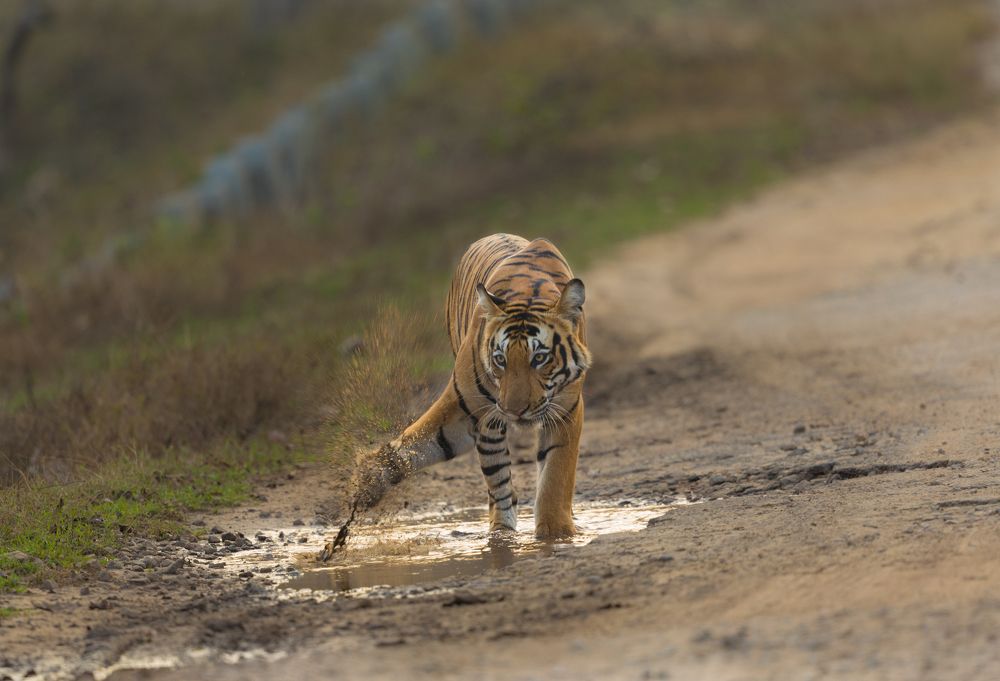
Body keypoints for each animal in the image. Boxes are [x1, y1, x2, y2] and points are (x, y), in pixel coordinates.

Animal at [353, 233, 591, 539]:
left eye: (540, 358)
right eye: (500, 359)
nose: (515, 411)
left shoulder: (566, 411)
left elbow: (555, 476)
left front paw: (556, 533)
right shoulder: (463, 406)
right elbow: (419, 441)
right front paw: (369, 479)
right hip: (488, 426)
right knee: (499, 482)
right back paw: (501, 531)